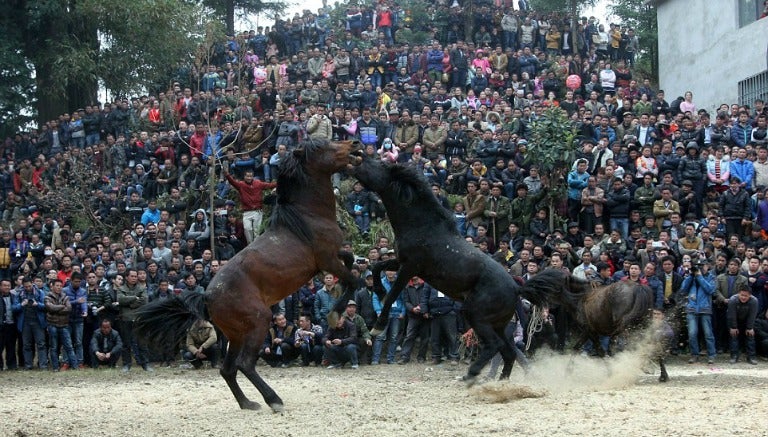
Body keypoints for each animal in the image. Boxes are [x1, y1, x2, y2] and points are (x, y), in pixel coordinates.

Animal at [136, 138, 364, 410]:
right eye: (322, 147)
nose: (355, 144)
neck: (308, 216)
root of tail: (207, 297)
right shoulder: (327, 260)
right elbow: (355, 280)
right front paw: (335, 313)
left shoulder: (333, 257)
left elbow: (351, 261)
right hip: (258, 322)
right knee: (245, 364)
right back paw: (273, 400)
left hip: (236, 334)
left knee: (228, 370)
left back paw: (248, 403)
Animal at [344, 158, 548, 384]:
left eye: (378, 165)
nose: (355, 159)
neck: (422, 226)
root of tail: (516, 288)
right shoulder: (400, 261)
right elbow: (378, 267)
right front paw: (379, 290)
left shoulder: (410, 267)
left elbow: (392, 294)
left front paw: (378, 325)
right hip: (498, 324)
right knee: (509, 352)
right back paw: (499, 382)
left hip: (476, 316)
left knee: (495, 346)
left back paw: (471, 374)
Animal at [520, 270, 664, 382]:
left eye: (540, 284)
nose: (525, 301)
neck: (579, 297)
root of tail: (639, 288)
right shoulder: (593, 332)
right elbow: (579, 348)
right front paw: (568, 372)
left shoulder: (590, 331)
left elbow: (601, 351)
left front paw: (611, 372)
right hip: (643, 324)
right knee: (652, 343)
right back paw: (663, 375)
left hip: (629, 327)